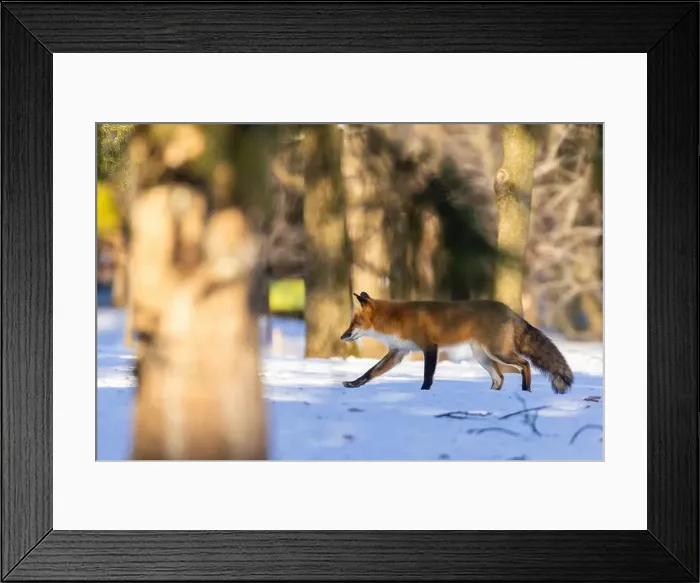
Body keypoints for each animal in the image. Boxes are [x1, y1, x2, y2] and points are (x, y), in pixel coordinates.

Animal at [340, 291, 573, 394]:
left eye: (354, 323)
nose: (342, 336)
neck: (395, 320)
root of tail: (509, 310)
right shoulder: (398, 352)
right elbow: (370, 372)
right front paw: (353, 384)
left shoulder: (429, 347)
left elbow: (427, 375)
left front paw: (424, 392)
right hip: (483, 356)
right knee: (500, 378)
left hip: (498, 352)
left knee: (524, 365)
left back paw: (526, 390)